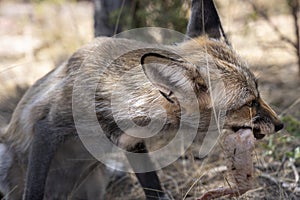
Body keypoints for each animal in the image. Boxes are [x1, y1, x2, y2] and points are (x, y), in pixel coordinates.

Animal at [0, 0, 282, 200]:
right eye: (249, 103)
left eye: (258, 92)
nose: (280, 125)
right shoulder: (48, 127)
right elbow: (33, 190)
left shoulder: (132, 144)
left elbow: (154, 189)